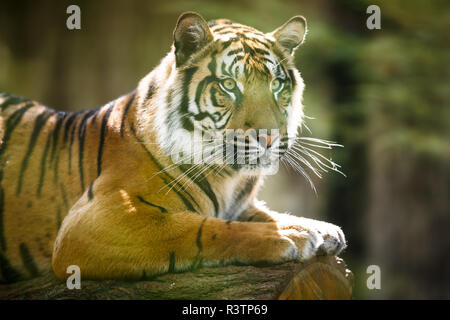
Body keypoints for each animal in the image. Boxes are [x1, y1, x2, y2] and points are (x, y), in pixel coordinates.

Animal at [0, 11, 344, 282]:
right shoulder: (93, 221)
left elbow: (267, 214)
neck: (230, 176)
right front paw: (287, 237)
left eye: (277, 85)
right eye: (229, 85)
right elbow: (200, 228)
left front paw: (319, 229)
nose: (269, 137)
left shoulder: (243, 205)